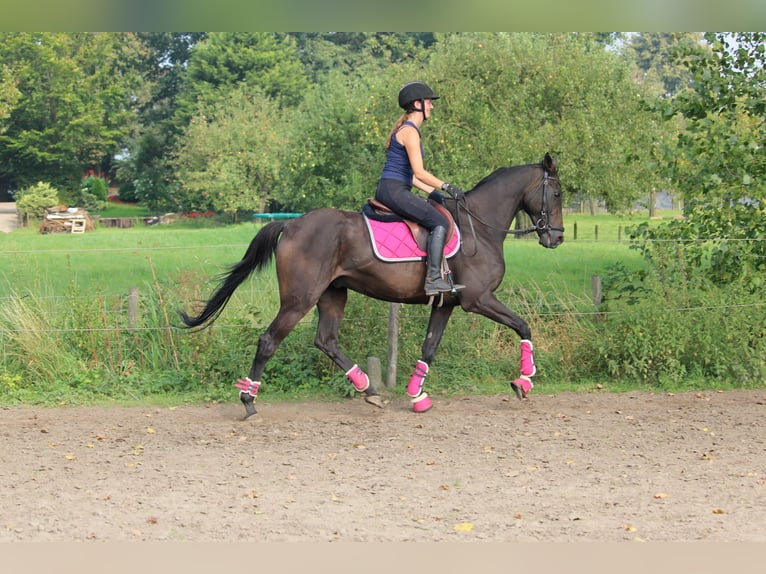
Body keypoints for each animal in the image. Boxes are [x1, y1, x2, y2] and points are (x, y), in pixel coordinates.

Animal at [180, 154, 564, 424]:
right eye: (558, 193)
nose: (556, 238)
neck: (479, 229)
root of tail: (291, 225)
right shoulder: (478, 299)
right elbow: (523, 325)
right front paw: (524, 382)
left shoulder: (445, 304)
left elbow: (429, 348)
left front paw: (416, 396)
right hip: (299, 299)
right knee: (269, 341)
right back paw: (249, 401)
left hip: (333, 295)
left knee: (326, 340)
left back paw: (370, 390)